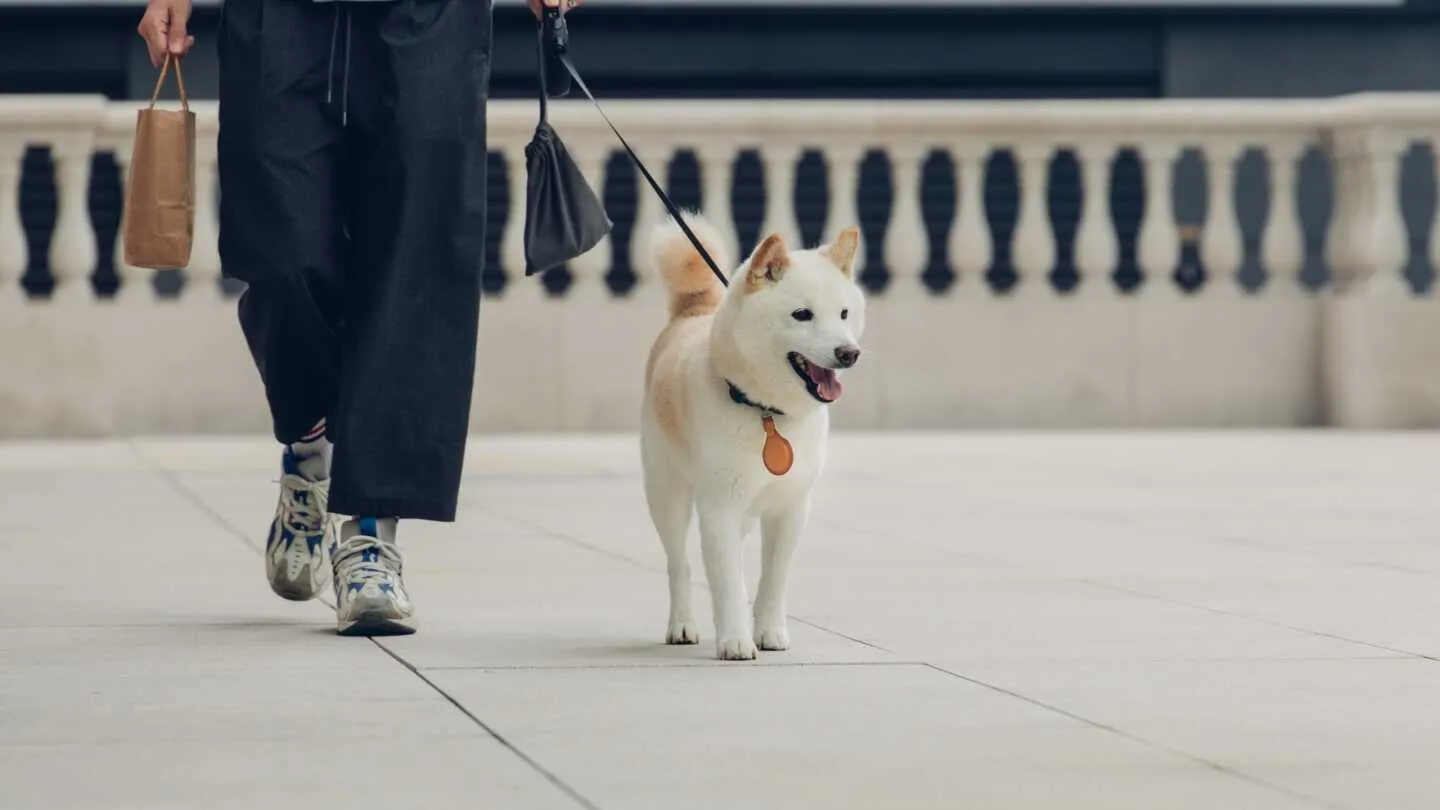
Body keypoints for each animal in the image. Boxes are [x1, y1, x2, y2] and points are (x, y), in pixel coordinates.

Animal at [642, 213, 864, 657]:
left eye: (845, 313)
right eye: (802, 314)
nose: (849, 353)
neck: (767, 414)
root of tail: (692, 312)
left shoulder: (791, 509)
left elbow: (773, 578)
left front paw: (770, 631)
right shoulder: (719, 509)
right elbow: (726, 583)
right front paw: (735, 641)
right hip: (667, 494)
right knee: (680, 564)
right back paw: (682, 624)